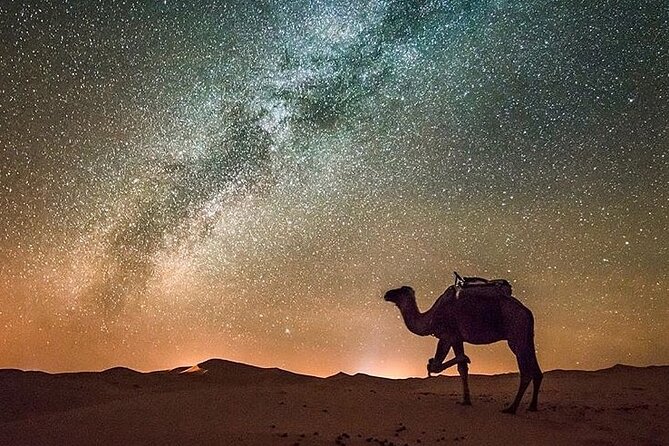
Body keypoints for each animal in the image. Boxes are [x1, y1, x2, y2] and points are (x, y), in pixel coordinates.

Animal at [384, 278, 543, 414]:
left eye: (401, 290)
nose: (387, 294)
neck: (431, 318)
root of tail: (527, 312)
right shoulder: (457, 339)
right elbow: (462, 369)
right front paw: (466, 400)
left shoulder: (448, 335)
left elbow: (438, 366)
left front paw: (462, 358)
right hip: (526, 337)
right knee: (536, 370)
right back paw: (532, 406)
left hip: (516, 334)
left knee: (526, 371)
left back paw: (511, 408)